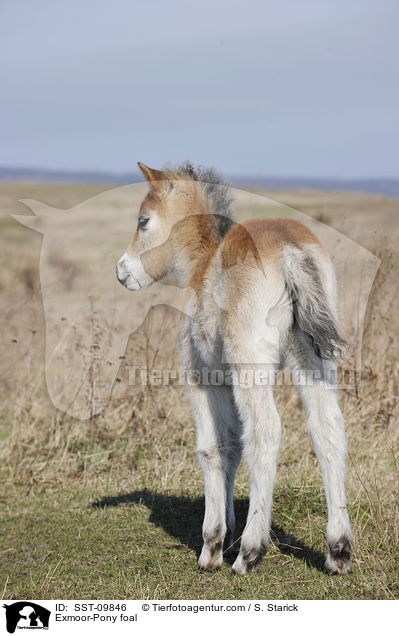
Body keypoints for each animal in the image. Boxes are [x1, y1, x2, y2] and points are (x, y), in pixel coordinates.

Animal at [117, 163, 354, 576]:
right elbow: (231, 448)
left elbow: (213, 447)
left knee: (265, 430)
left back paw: (250, 552)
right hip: (314, 362)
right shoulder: (226, 381)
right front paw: (225, 534)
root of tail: (291, 251)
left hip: (251, 368)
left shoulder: (202, 377)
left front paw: (213, 545)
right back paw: (337, 550)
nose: (122, 271)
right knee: (327, 429)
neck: (202, 266)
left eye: (143, 221)